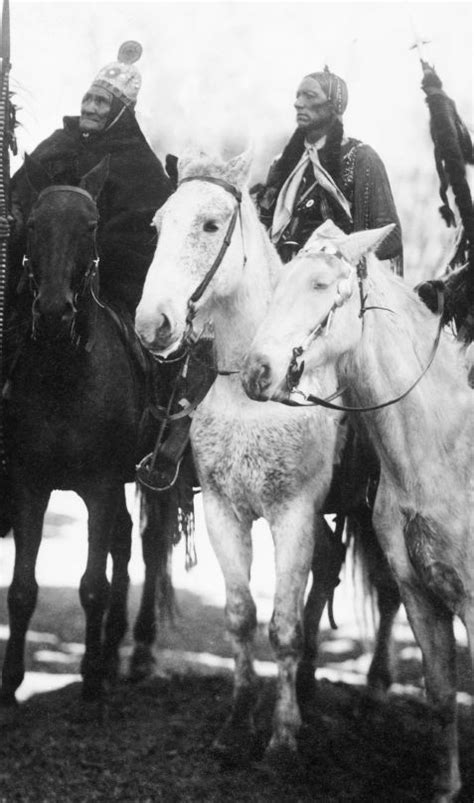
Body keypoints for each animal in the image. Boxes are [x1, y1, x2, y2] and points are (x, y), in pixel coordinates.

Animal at [1, 155, 180, 704]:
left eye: (91, 226)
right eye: (33, 225)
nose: (53, 313)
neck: (66, 375)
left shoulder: (99, 487)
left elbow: (92, 586)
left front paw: (92, 680)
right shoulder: (30, 485)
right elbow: (22, 589)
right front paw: (11, 680)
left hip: (159, 477)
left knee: (149, 542)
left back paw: (138, 651)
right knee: (124, 542)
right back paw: (113, 643)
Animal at [135, 154, 398, 764]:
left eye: (211, 226)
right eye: (157, 226)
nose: (152, 324)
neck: (250, 393)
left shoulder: (293, 513)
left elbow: (282, 627)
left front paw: (282, 733)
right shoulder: (223, 512)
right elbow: (241, 617)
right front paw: (237, 722)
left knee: (388, 590)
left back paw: (374, 694)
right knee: (327, 572)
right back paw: (309, 682)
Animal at [243, 221, 472, 803]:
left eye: (322, 285)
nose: (256, 372)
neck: (440, 452)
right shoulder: (420, 595)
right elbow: (442, 693)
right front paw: (446, 786)